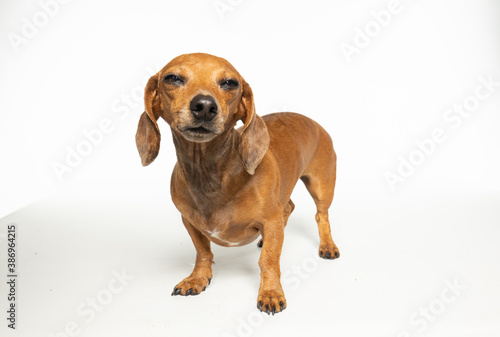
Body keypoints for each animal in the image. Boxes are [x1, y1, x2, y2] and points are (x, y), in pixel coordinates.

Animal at [136, 51, 340, 312]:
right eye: (172, 78)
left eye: (230, 83)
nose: (205, 106)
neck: (210, 173)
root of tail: (313, 121)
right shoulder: (189, 223)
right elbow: (203, 252)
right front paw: (198, 278)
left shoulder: (270, 219)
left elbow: (269, 260)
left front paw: (270, 292)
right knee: (289, 207)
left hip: (321, 187)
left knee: (321, 215)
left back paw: (327, 246)